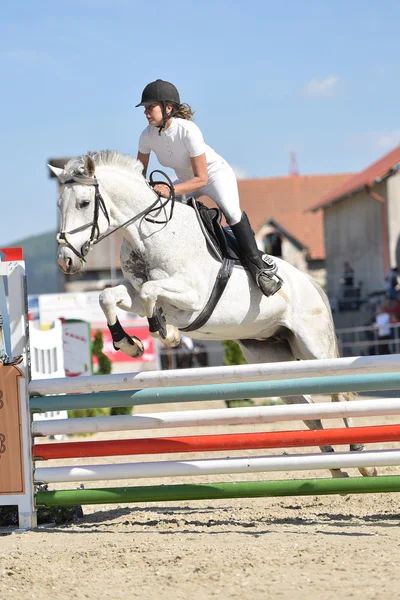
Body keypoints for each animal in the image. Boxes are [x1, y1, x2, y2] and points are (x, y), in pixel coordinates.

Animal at [49, 150, 376, 478]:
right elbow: (109, 296)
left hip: (313, 347)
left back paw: (363, 462)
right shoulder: (135, 292)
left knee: (340, 395)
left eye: (84, 203)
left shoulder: (192, 295)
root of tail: (312, 284)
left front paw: (165, 333)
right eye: (59, 204)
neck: (149, 234)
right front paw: (131, 344)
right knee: (307, 408)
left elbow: (150, 293)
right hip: (271, 357)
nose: (65, 262)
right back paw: (337, 469)